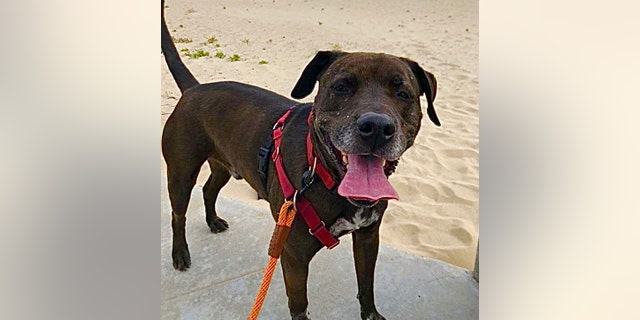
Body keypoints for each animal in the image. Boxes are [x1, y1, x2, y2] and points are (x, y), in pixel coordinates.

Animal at [160, 1, 440, 318]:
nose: (377, 127)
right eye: (341, 87)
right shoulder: (293, 256)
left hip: (224, 165)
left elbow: (366, 286)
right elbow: (299, 305)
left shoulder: (368, 238)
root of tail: (194, 88)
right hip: (181, 173)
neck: (324, 175)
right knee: (178, 214)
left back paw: (212, 221)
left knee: (209, 190)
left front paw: (371, 313)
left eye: (403, 93)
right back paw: (180, 253)